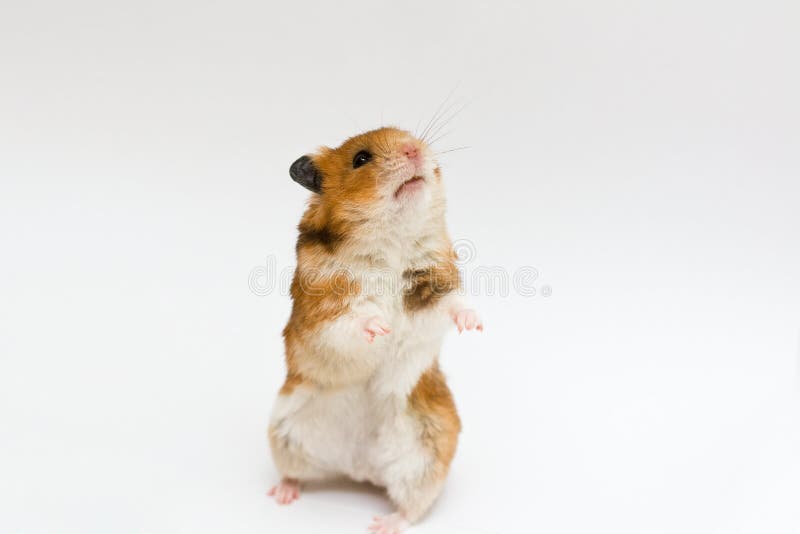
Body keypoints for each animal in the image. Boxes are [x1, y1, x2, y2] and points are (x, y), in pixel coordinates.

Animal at [267, 127, 483, 534]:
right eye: (361, 159)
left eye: (410, 136)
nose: (414, 149)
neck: (391, 240)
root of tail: (359, 470)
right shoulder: (322, 311)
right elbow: (351, 320)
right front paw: (381, 328)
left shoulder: (434, 286)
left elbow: (454, 304)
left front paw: (475, 325)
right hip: (285, 434)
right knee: (294, 473)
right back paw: (281, 495)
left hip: (427, 453)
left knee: (412, 507)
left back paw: (383, 524)